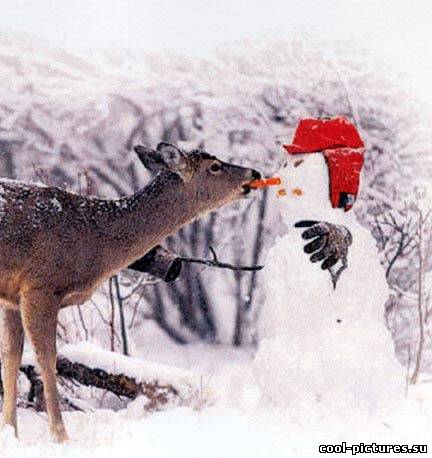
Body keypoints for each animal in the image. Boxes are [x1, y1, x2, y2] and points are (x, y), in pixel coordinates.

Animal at [0, 141, 260, 442]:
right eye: (215, 166)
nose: (254, 173)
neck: (91, 238)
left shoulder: (12, 297)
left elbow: (11, 358)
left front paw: (11, 433)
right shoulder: (40, 286)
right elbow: (47, 359)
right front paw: (61, 437)